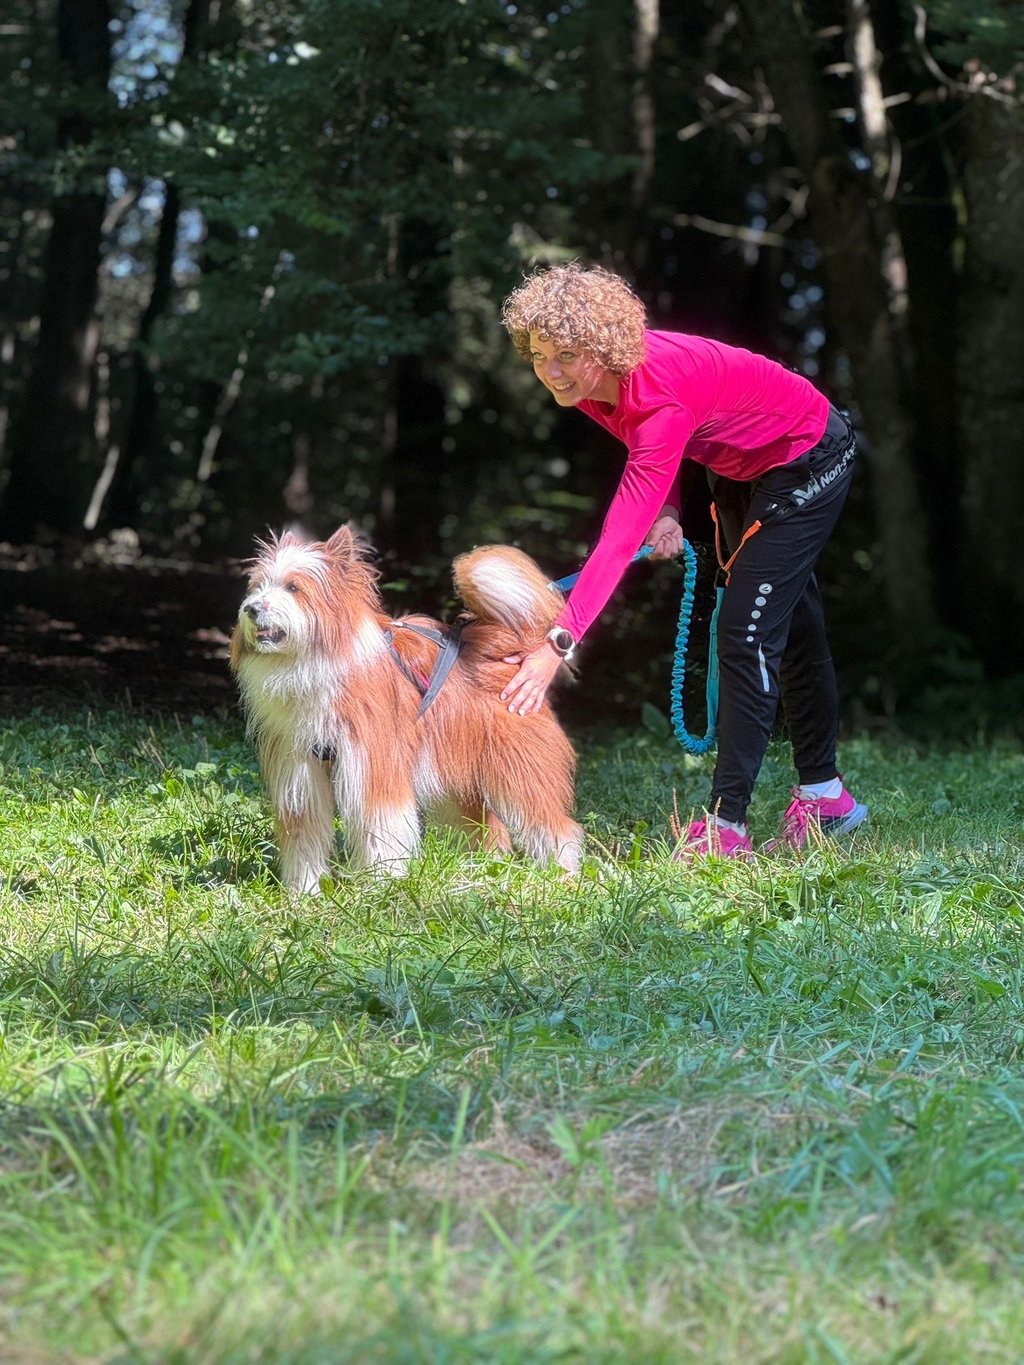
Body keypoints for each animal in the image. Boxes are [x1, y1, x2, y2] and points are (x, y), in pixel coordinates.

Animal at [230, 526, 583, 891]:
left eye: (293, 587)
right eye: (258, 586)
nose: (251, 609)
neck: (311, 663)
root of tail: (496, 645)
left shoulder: (373, 766)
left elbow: (380, 828)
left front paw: (380, 886)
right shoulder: (298, 774)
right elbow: (304, 836)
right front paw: (304, 892)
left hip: (520, 772)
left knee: (555, 827)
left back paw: (562, 877)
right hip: (455, 777)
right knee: (489, 828)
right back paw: (479, 873)